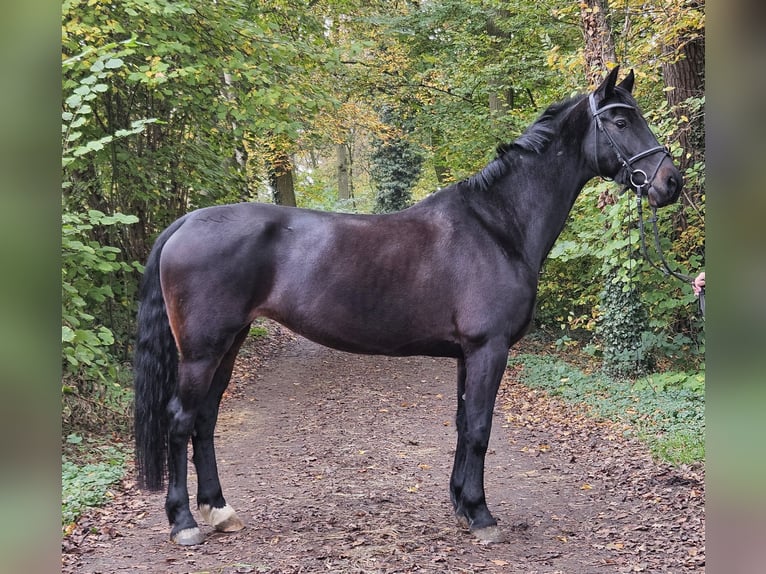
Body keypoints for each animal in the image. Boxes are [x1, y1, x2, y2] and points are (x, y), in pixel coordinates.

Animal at [134, 65, 684, 548]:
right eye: (620, 120)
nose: (671, 182)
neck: (497, 226)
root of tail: (185, 223)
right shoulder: (489, 349)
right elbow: (480, 428)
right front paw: (482, 515)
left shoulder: (468, 354)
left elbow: (464, 424)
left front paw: (461, 504)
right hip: (203, 351)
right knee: (181, 420)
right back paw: (184, 523)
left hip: (229, 344)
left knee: (205, 420)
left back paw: (220, 511)